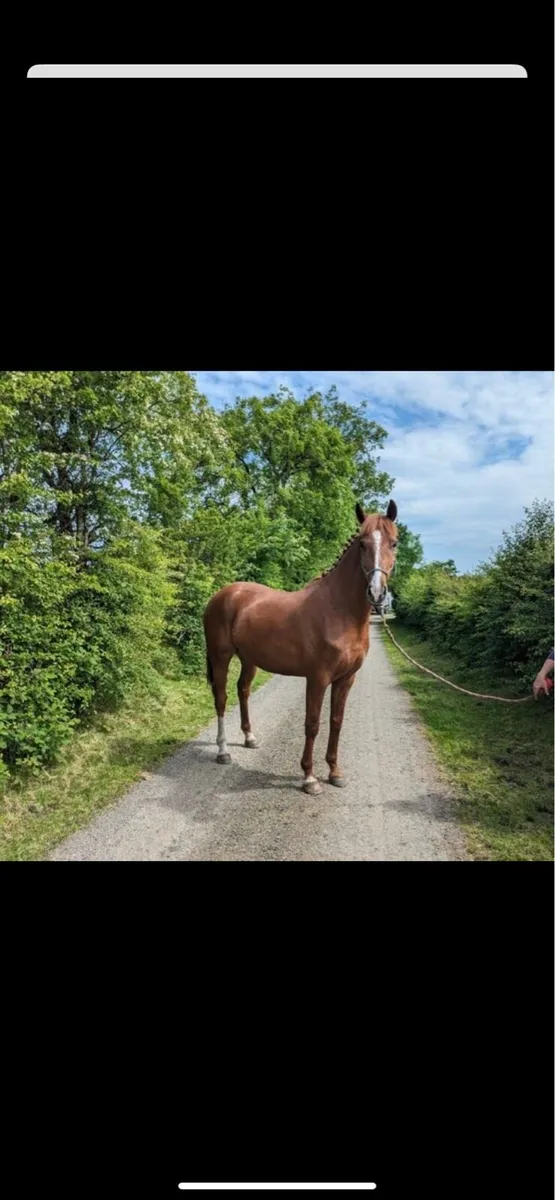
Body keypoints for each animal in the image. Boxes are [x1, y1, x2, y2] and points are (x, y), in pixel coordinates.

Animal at [203, 499, 398, 795]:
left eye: (394, 543)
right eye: (363, 544)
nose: (376, 593)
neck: (338, 610)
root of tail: (222, 595)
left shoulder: (346, 679)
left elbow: (336, 722)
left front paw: (335, 772)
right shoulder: (317, 678)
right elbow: (313, 724)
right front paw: (309, 778)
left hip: (249, 659)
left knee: (243, 691)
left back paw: (250, 737)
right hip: (220, 657)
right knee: (221, 698)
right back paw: (223, 751)